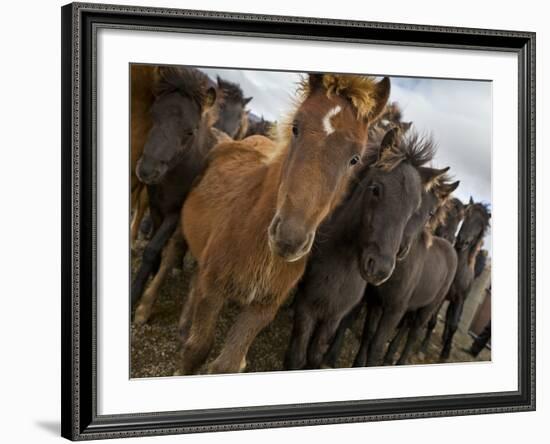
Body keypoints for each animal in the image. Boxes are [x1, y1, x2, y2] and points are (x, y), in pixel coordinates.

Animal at [180, 73, 392, 374]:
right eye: (295, 128)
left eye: (355, 158)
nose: (289, 239)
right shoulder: (213, 289)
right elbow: (197, 349)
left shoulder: (263, 307)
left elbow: (227, 364)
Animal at [284, 129, 448, 372]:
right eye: (376, 189)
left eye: (415, 209)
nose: (380, 268)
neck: (339, 267)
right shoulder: (307, 306)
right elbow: (297, 357)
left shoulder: (337, 315)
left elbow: (316, 356)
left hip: (425, 310)